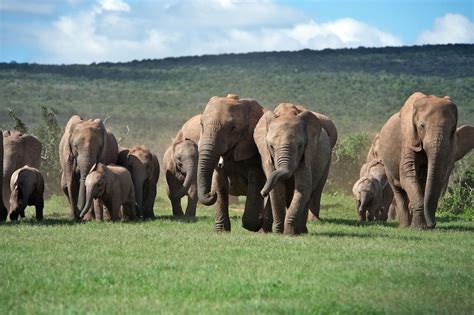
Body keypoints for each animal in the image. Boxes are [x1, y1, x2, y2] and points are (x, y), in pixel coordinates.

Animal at [196, 94, 266, 232]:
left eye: (232, 128)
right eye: (201, 124)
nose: (211, 193)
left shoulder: (253, 149)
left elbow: (256, 184)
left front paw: (256, 223)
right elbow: (219, 182)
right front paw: (222, 231)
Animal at [254, 103, 332, 235]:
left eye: (300, 146)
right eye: (271, 146)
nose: (263, 192)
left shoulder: (307, 155)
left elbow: (303, 188)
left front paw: (289, 233)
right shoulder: (267, 156)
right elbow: (277, 189)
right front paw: (279, 232)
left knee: (310, 193)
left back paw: (301, 231)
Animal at [380, 92, 468, 230]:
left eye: (452, 129)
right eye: (422, 126)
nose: (433, 224)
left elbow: (432, 177)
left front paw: (423, 227)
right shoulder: (408, 138)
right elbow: (408, 175)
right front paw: (419, 228)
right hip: (387, 164)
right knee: (398, 191)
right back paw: (404, 226)